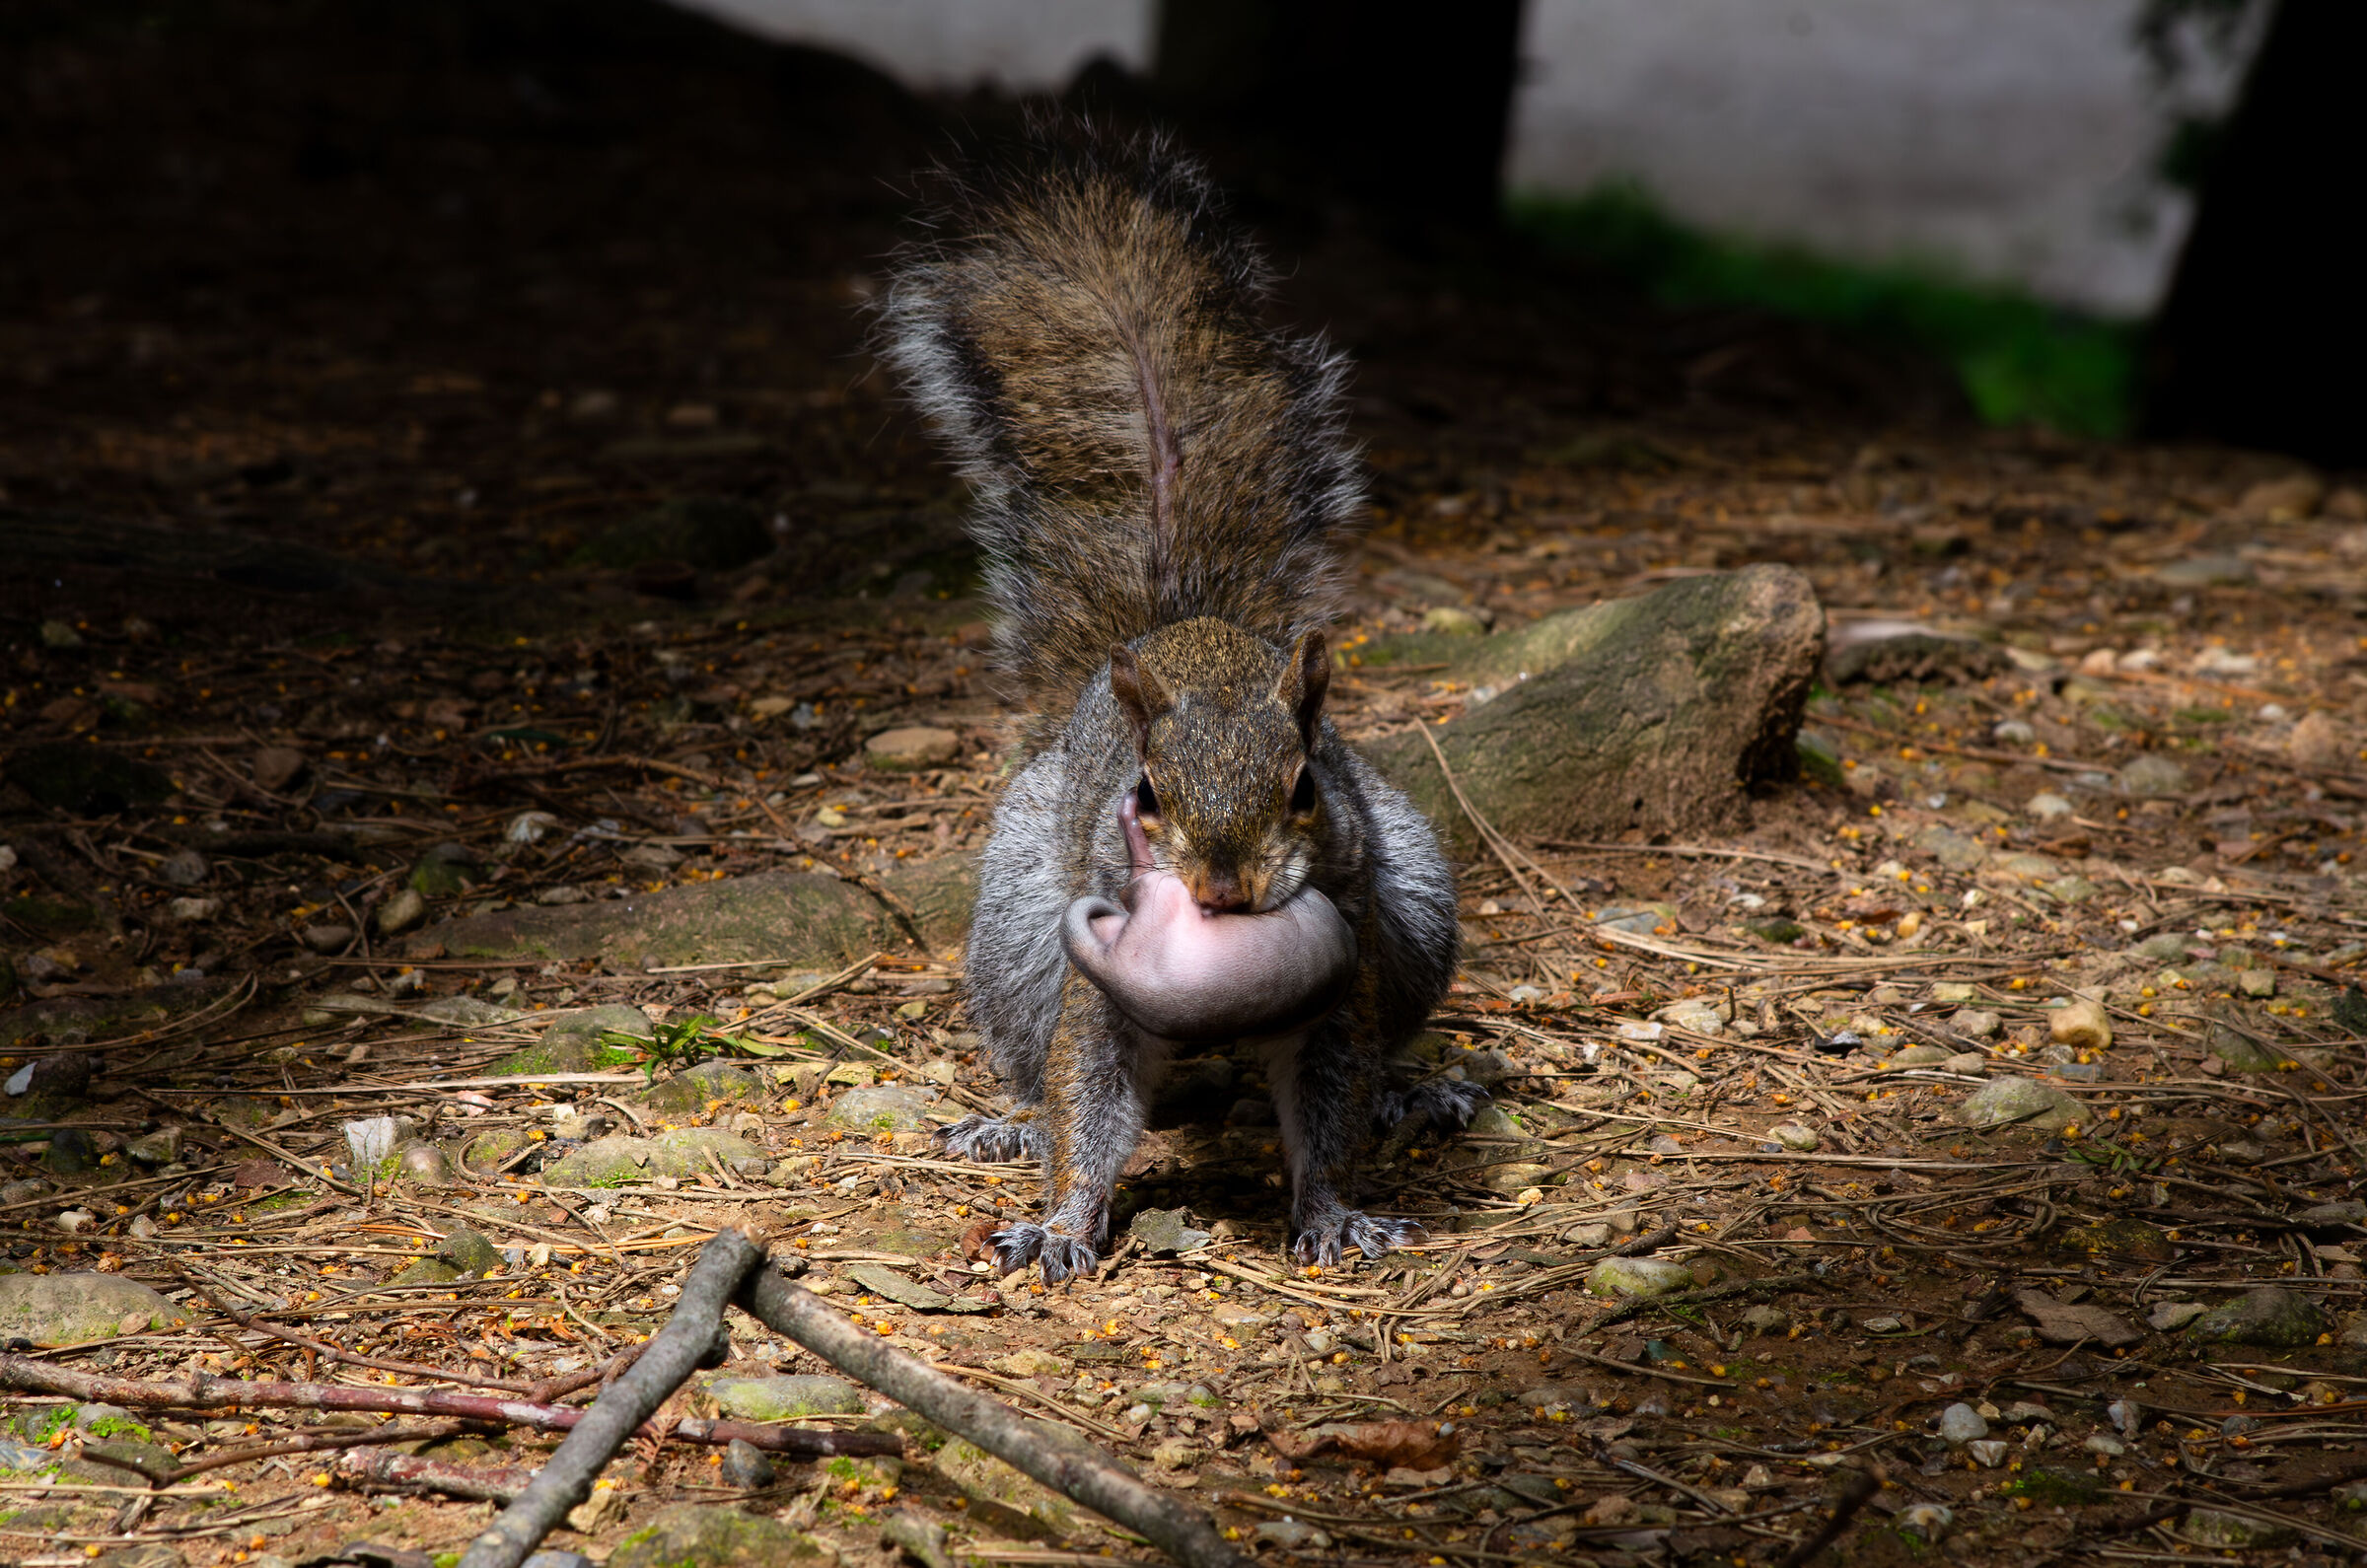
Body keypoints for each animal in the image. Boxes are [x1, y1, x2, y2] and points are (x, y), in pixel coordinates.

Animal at [878, 123, 1479, 1284]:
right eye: (1147, 795)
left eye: (1305, 788)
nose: (1225, 886)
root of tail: (1170, 627)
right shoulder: (1095, 971)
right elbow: (1087, 1088)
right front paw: (1064, 1221)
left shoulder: (1347, 961)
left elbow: (1330, 1096)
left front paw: (1334, 1211)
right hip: (1018, 924)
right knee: (1030, 1047)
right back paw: (1009, 1119)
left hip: (1416, 905)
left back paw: (1409, 1091)